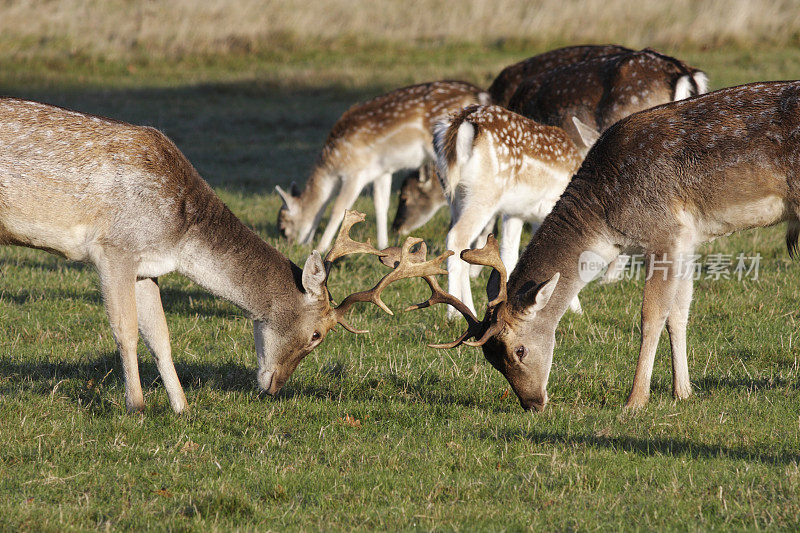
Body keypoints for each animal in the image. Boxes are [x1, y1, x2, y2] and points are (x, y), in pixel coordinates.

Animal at [0, 97, 438, 414]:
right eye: (317, 334)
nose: (275, 388)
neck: (178, 237)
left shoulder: (146, 266)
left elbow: (161, 336)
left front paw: (182, 408)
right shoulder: (114, 249)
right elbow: (125, 332)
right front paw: (136, 407)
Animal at [276, 80, 488, 252]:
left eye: (284, 228)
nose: (293, 246)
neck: (332, 167)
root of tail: (480, 94)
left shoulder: (355, 172)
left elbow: (339, 207)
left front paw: (322, 247)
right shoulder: (381, 171)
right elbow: (381, 204)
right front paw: (383, 245)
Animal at [396, 79, 800, 412]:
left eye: (518, 349)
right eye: (491, 360)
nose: (532, 403)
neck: (607, 220)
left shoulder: (665, 233)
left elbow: (651, 315)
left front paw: (635, 400)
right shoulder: (689, 239)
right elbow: (679, 312)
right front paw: (682, 392)